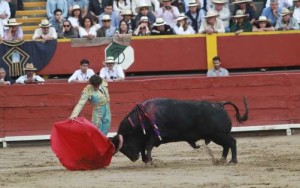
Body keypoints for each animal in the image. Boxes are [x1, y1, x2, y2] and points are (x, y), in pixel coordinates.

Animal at [111, 97, 247, 164]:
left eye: (125, 146)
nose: (134, 158)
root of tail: (220, 105)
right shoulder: (145, 139)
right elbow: (144, 148)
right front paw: (147, 160)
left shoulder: (153, 136)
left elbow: (148, 147)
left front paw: (149, 161)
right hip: (217, 136)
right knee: (226, 146)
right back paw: (222, 160)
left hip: (220, 134)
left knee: (232, 143)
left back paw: (233, 161)